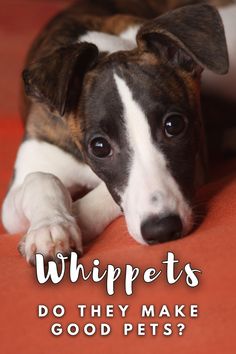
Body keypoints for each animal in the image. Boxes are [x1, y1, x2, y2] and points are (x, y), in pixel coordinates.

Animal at [0, 0, 235, 262]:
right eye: (99, 147)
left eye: (174, 125)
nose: (162, 229)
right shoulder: (19, 191)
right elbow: (40, 178)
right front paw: (49, 227)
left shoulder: (197, 164)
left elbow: (103, 194)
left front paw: (72, 221)